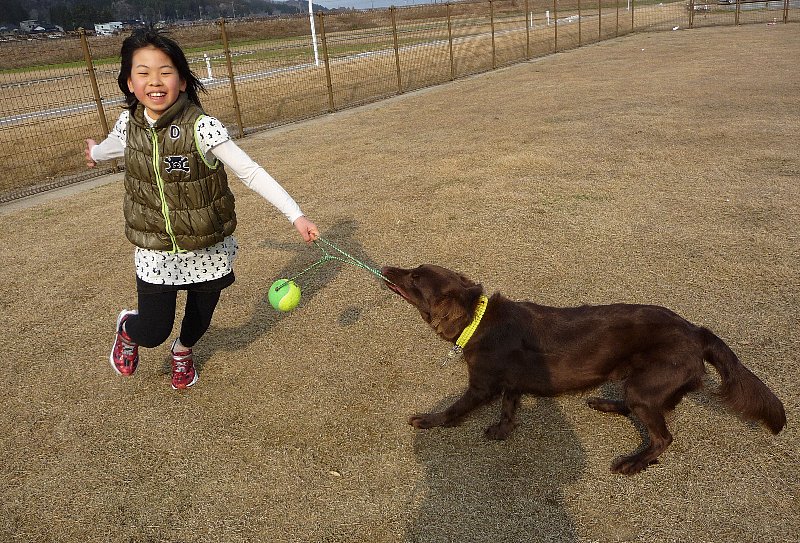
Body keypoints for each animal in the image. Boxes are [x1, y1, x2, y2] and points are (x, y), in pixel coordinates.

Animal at [381, 264, 786, 475]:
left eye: (415, 278)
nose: (386, 266)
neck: (477, 320)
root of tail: (695, 330)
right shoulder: (511, 381)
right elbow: (510, 407)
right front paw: (502, 430)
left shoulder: (481, 385)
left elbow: (454, 410)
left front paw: (427, 421)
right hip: (642, 383)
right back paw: (604, 404)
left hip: (647, 386)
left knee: (662, 436)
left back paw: (633, 462)